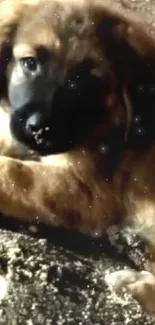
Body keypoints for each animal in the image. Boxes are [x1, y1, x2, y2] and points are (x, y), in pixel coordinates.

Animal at [0, 0, 155, 314]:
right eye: (30, 62)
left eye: (85, 82)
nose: (40, 128)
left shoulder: (85, 187)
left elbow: (13, 173)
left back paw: (134, 282)